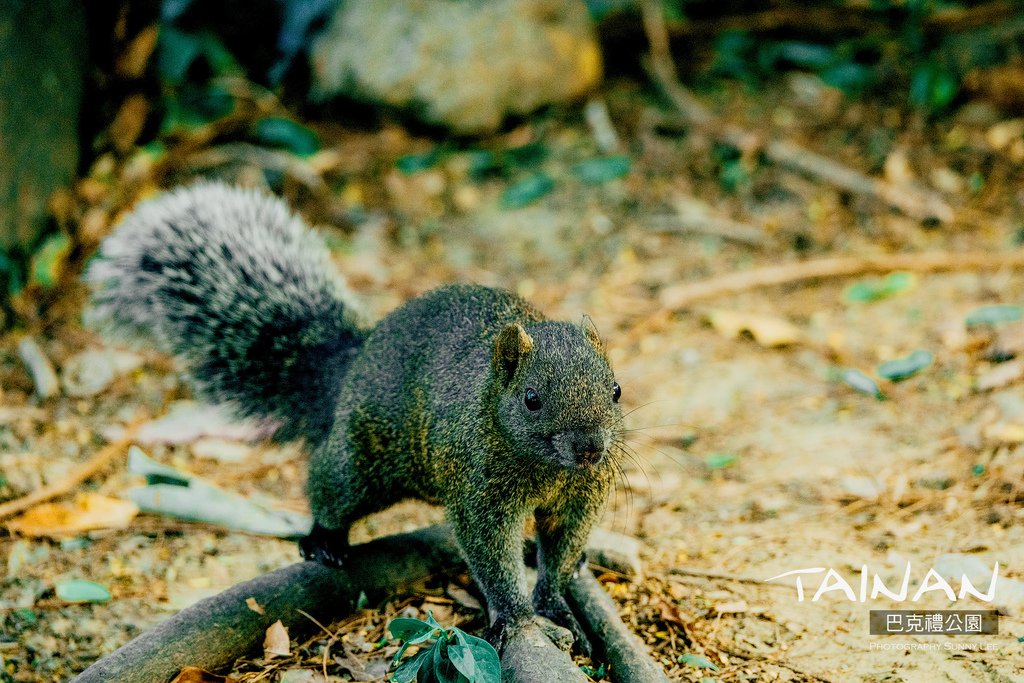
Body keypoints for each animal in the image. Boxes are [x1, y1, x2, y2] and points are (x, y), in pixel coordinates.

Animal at [88, 184, 618, 655]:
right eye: (531, 399)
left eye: (615, 390)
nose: (591, 449)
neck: (548, 469)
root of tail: (352, 364)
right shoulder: (480, 491)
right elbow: (490, 553)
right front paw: (517, 618)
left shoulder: (581, 495)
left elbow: (561, 550)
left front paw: (556, 603)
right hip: (360, 462)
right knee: (329, 486)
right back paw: (323, 541)